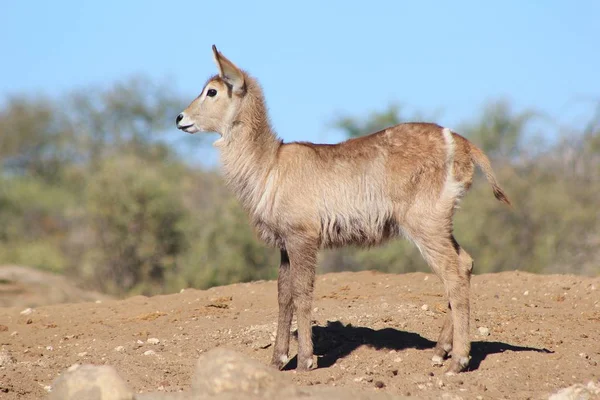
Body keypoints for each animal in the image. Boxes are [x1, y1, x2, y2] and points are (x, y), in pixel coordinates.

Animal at [176, 46, 508, 376]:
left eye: (212, 91)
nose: (180, 118)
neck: (270, 163)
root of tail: (462, 143)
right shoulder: (284, 245)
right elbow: (283, 296)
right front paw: (278, 359)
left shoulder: (303, 239)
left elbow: (302, 294)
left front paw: (305, 361)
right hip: (439, 225)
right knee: (465, 263)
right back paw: (440, 351)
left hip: (425, 226)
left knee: (453, 274)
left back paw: (458, 360)